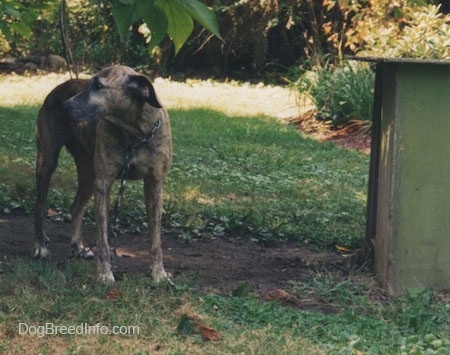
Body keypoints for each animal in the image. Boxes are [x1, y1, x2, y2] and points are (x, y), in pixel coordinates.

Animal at [33, 66, 172, 284]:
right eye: (89, 84)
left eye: (98, 86)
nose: (63, 107)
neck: (136, 134)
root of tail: (56, 90)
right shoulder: (104, 184)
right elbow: (103, 238)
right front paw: (105, 273)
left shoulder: (155, 184)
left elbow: (156, 237)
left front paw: (158, 273)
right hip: (47, 161)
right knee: (38, 206)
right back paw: (41, 245)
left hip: (89, 174)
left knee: (75, 207)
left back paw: (78, 246)